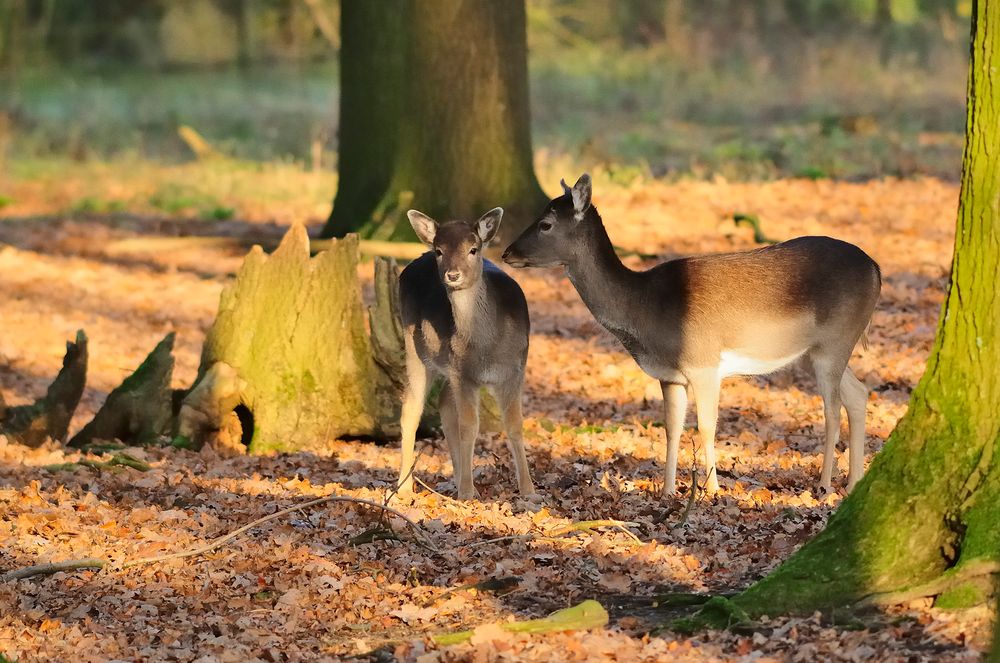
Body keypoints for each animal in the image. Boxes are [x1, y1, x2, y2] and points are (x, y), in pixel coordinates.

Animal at [398, 208, 540, 498]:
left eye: (473, 249)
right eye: (439, 250)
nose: (452, 275)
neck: (487, 349)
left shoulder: (515, 370)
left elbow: (514, 424)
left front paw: (529, 490)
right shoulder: (463, 374)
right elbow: (469, 426)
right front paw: (466, 492)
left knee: (443, 402)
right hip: (415, 350)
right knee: (411, 409)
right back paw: (404, 487)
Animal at [504, 176, 880, 498]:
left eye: (545, 224)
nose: (507, 253)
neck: (646, 310)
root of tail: (876, 270)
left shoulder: (704, 362)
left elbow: (706, 426)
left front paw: (711, 490)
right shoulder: (669, 375)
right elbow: (672, 428)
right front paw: (669, 491)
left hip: (835, 340)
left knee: (832, 408)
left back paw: (825, 484)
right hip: (812, 351)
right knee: (858, 394)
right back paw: (853, 483)